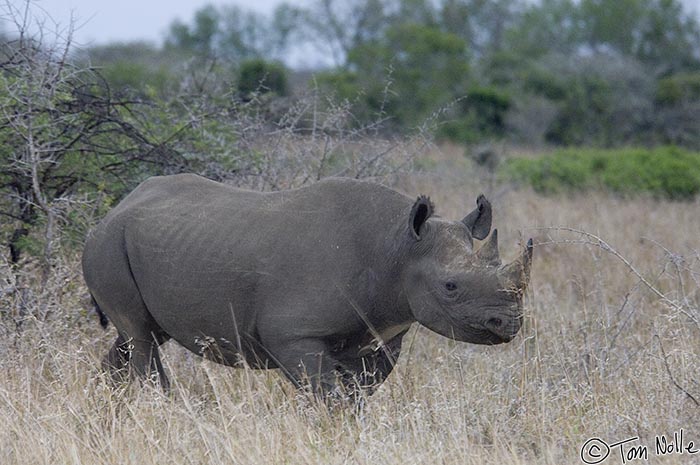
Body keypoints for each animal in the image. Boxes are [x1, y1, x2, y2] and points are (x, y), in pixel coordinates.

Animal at [83, 173, 532, 396]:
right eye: (451, 287)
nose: (509, 323)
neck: (398, 248)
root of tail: (115, 208)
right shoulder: (294, 335)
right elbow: (326, 394)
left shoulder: (380, 335)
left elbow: (357, 395)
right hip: (107, 245)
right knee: (141, 338)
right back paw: (161, 406)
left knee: (136, 338)